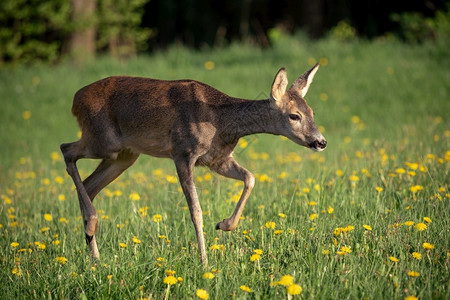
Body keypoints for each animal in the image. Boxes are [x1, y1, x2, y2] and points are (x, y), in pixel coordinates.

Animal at [60, 63, 326, 264]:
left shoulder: (217, 159)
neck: (221, 121)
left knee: (89, 184)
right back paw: (92, 225)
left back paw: (94, 254)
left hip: (124, 155)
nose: (320, 141)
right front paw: (204, 261)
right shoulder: (183, 153)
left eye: (312, 112)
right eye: (294, 115)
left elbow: (250, 178)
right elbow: (196, 211)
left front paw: (224, 224)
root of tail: (74, 99)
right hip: (103, 141)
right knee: (66, 150)